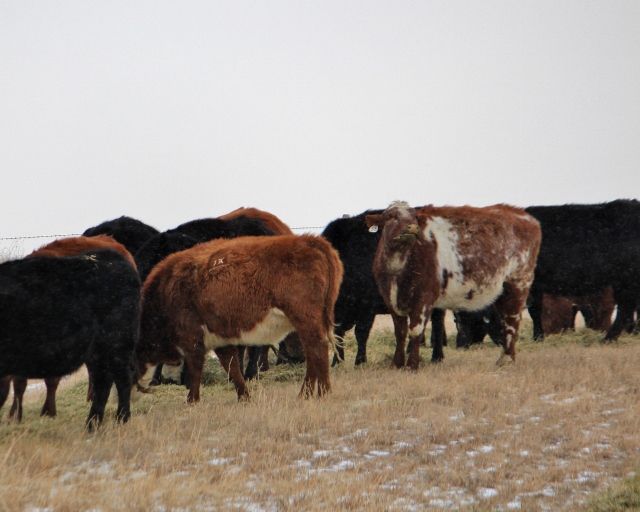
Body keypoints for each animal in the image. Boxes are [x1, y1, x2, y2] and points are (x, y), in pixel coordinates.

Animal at [0, 249, 140, 429]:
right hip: (97, 352)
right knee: (104, 381)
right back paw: (92, 425)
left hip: (117, 344)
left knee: (122, 378)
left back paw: (120, 420)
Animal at [135, 235, 343, 401]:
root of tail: (310, 241)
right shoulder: (220, 341)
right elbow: (232, 368)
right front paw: (245, 397)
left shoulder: (192, 340)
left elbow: (195, 371)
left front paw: (191, 401)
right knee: (312, 354)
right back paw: (306, 395)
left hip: (306, 320)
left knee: (317, 350)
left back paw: (322, 393)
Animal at [322, 210, 447, 366]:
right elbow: (338, 334)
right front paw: (337, 362)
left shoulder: (367, 308)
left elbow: (361, 333)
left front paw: (360, 361)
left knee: (437, 323)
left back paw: (437, 356)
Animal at [366, 201, 541, 369]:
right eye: (391, 216)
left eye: (414, 217)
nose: (412, 227)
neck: (398, 267)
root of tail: (523, 215)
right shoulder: (390, 299)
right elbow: (400, 332)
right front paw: (396, 363)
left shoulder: (424, 298)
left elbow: (415, 330)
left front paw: (411, 365)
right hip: (502, 291)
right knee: (505, 321)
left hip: (518, 282)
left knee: (513, 321)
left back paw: (507, 360)